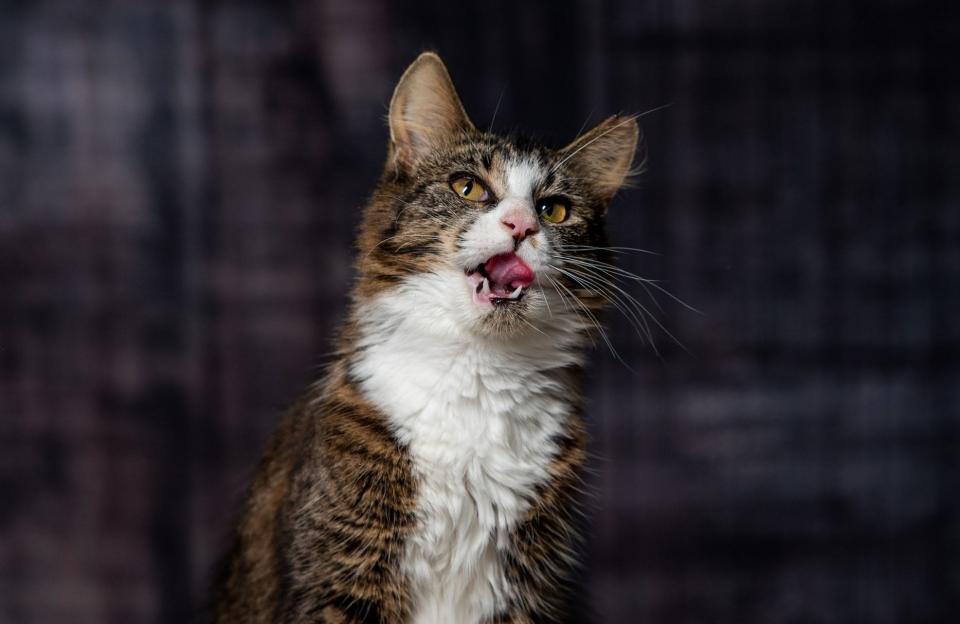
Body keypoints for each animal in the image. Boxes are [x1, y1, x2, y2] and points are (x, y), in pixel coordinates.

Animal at [214, 52, 640, 624]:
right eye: (468, 188)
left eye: (553, 210)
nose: (522, 225)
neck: (479, 373)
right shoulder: (341, 572)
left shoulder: (527, 586)